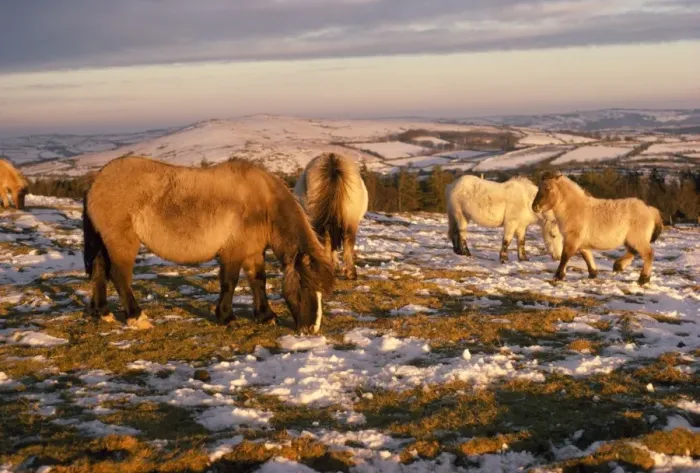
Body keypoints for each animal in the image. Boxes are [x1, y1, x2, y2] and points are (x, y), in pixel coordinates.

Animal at [83, 156, 334, 332]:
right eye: (306, 286)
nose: (311, 329)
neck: (263, 203)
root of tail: (97, 181)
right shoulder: (233, 252)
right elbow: (229, 283)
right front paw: (227, 317)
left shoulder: (253, 252)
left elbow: (258, 281)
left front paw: (265, 316)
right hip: (123, 243)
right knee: (119, 275)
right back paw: (137, 317)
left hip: (105, 244)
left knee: (99, 271)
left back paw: (102, 312)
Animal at [532, 171, 663, 285]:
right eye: (539, 188)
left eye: (548, 189)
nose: (534, 207)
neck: (574, 208)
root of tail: (649, 209)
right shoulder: (581, 242)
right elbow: (587, 256)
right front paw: (593, 273)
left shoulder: (572, 239)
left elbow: (565, 256)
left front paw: (558, 276)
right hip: (631, 239)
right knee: (632, 251)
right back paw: (619, 266)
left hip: (637, 239)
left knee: (648, 254)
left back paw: (643, 279)